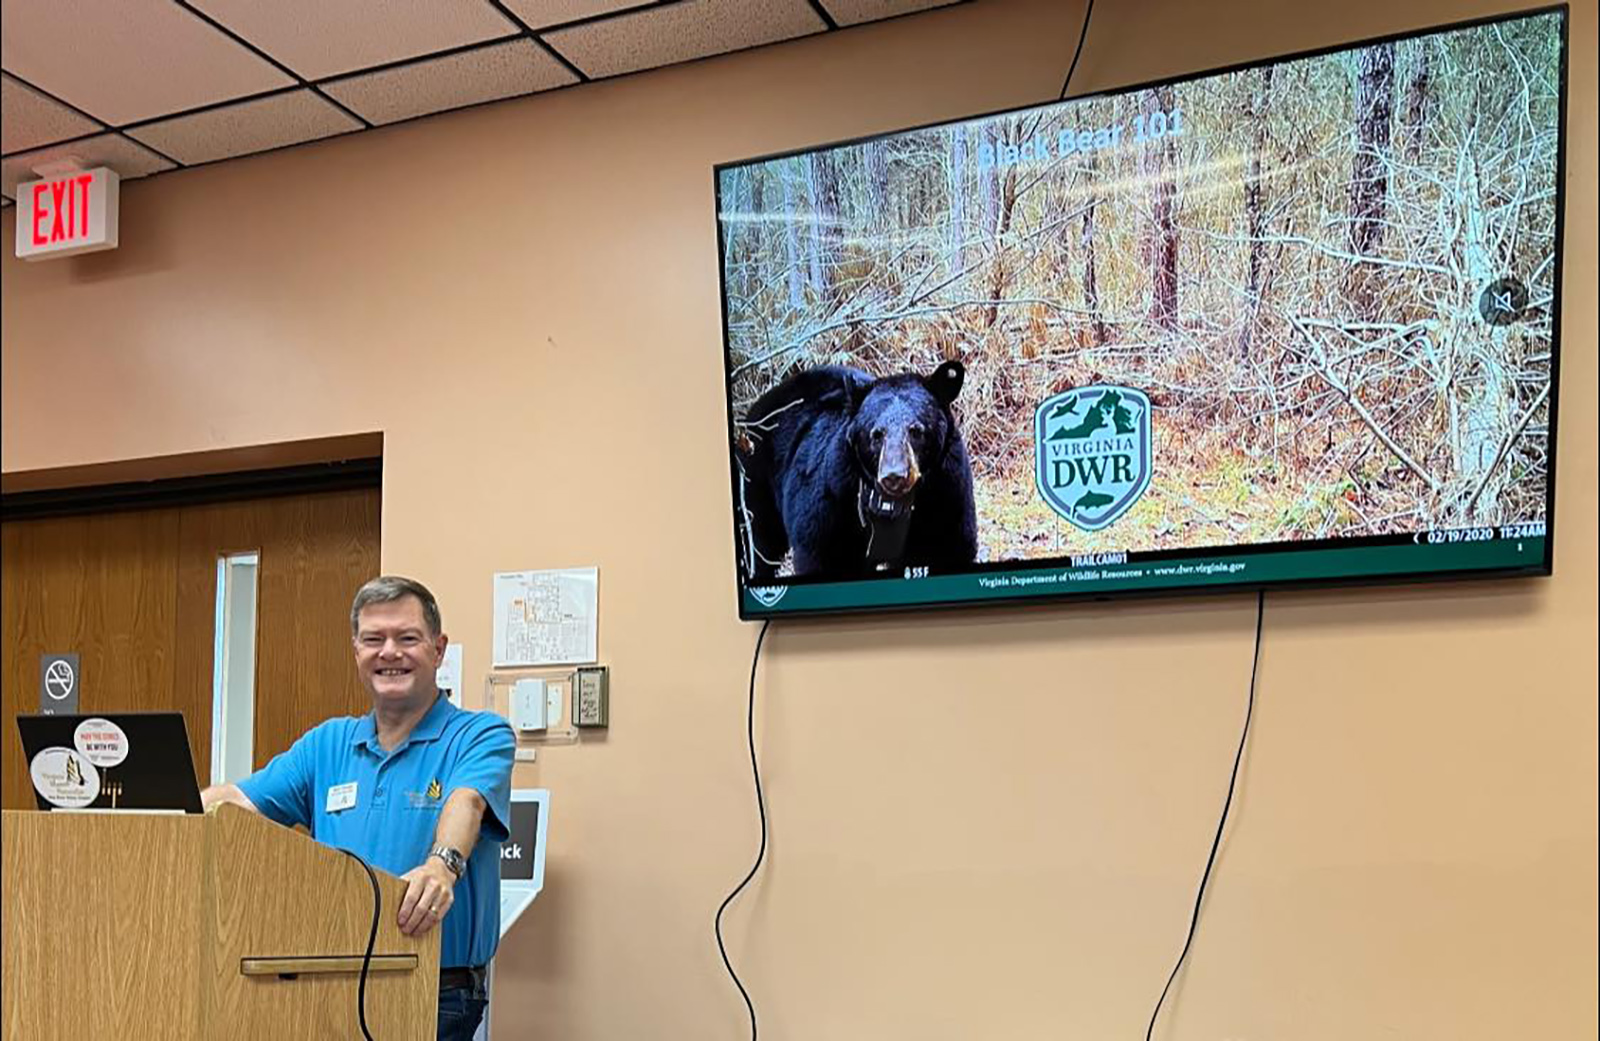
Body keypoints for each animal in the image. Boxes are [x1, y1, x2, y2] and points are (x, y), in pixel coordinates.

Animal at [732, 362, 972, 582]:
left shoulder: (945, 496)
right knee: (758, 542)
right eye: (877, 434)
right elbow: (829, 556)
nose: (894, 476)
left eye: (916, 431)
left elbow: (941, 551)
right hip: (756, 478)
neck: (890, 507)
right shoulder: (835, 500)